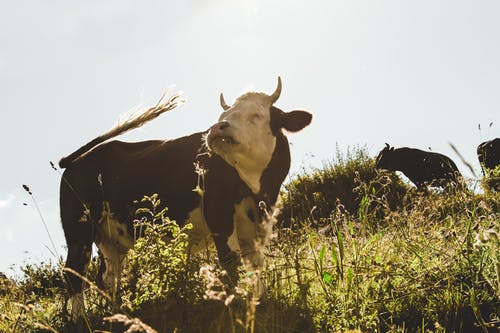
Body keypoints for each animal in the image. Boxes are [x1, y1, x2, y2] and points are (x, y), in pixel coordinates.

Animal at [58, 78, 312, 320]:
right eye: (223, 116)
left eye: (256, 115)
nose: (218, 127)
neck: (257, 188)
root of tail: (78, 159)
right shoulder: (218, 214)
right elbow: (231, 261)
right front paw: (238, 304)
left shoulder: (258, 222)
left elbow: (255, 264)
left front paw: (257, 302)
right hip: (78, 229)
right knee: (74, 273)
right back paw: (80, 319)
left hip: (108, 237)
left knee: (108, 276)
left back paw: (116, 313)